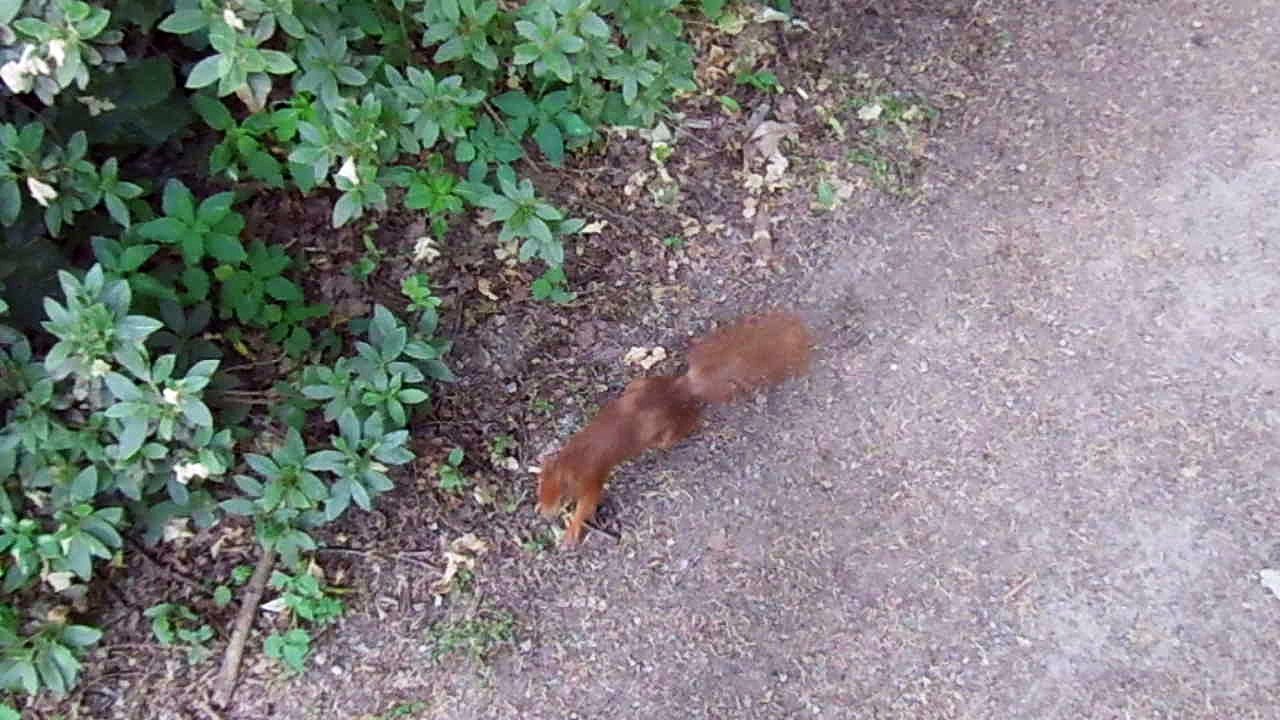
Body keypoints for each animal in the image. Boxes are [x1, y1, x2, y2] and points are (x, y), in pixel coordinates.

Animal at [537, 311, 812, 546]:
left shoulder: (593, 478)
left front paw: (572, 531)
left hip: (665, 432)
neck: (574, 460)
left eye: (562, 496)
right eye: (539, 489)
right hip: (640, 385)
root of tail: (681, 389)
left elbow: (588, 505)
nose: (545, 514)